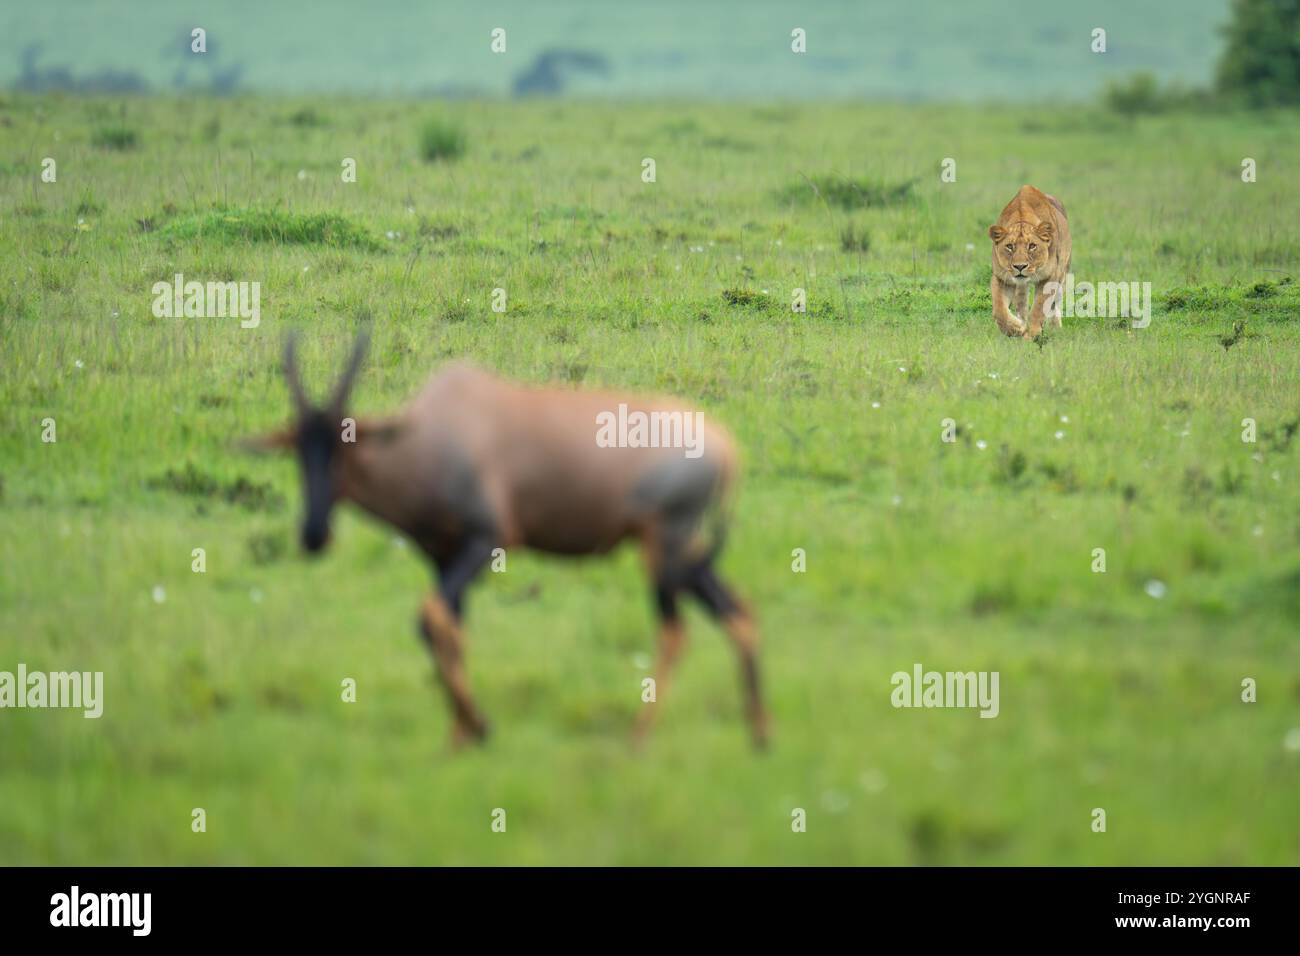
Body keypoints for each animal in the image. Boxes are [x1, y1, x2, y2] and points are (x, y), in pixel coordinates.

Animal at [250, 338, 769, 754]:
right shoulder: (443, 555)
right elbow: (447, 624)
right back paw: (759, 738)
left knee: (675, 632)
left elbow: (433, 617)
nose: (314, 534)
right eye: (297, 449)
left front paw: (479, 728)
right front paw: (462, 735)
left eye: (346, 444)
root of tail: (727, 448)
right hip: (687, 554)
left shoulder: (488, 540)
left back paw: (636, 741)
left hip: (665, 547)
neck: (438, 430)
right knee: (739, 612)